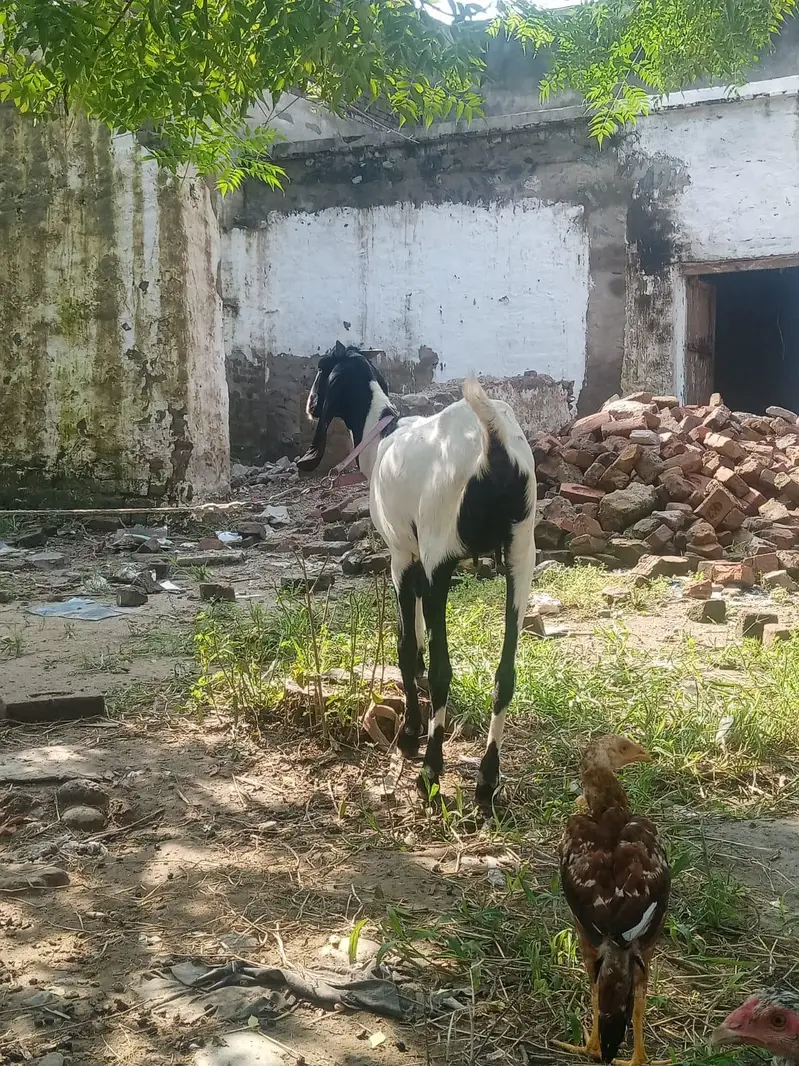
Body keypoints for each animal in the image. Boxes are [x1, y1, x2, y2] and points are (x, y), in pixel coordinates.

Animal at [297, 342, 537, 813]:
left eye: (321, 369)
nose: (311, 405)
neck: (382, 436)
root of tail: (494, 446)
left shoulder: (404, 556)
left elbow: (408, 646)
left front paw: (409, 734)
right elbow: (421, 641)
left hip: (440, 552)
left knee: (446, 670)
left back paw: (430, 771)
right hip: (521, 555)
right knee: (506, 675)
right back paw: (487, 780)